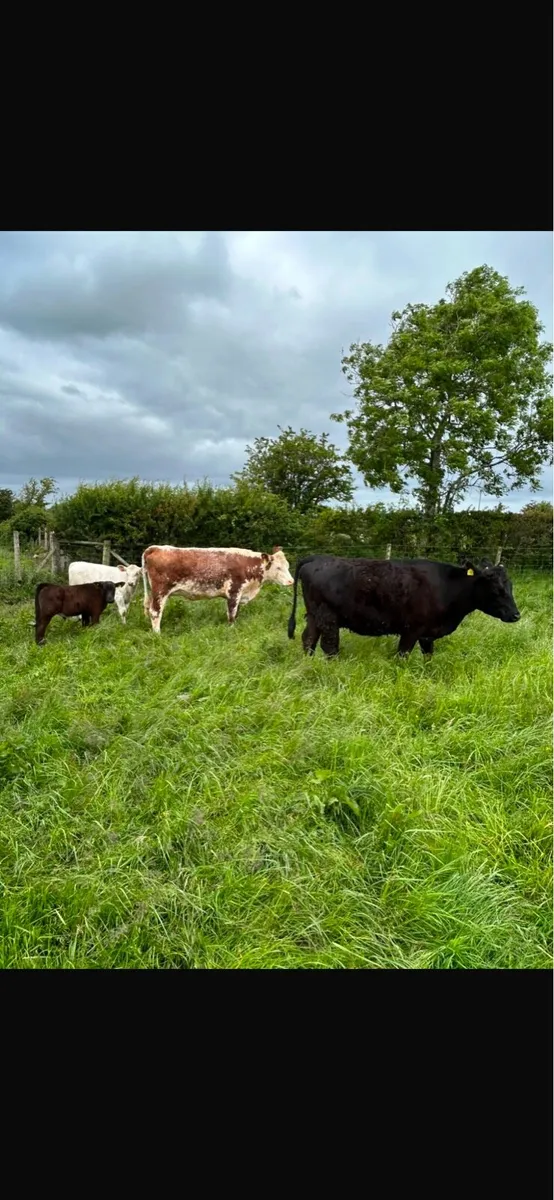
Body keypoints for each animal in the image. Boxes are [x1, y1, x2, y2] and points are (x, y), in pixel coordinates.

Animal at [142, 544, 294, 632]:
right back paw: (158, 634)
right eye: (278, 567)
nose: (291, 581)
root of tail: (156, 548)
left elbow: (236, 613)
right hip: (160, 591)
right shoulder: (234, 592)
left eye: (287, 566)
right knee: (155, 612)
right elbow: (232, 614)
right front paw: (231, 630)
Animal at [287, 555, 520, 660]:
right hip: (328, 618)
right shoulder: (411, 630)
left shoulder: (427, 634)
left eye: (509, 585)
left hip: (315, 616)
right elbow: (403, 655)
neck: (447, 586)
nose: (516, 615)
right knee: (330, 647)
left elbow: (428, 656)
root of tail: (317, 558)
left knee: (308, 639)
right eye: (497, 588)